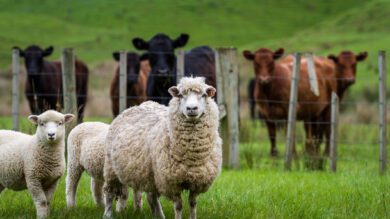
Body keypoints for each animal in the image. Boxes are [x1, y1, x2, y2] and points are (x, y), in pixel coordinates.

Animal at [103, 77, 222, 219]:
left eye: (204, 95)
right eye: (180, 95)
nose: (191, 108)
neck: (192, 155)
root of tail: (135, 107)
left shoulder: (197, 181)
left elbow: (193, 204)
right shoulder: (171, 182)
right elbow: (178, 206)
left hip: (151, 174)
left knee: (152, 197)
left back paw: (159, 215)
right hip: (111, 168)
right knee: (109, 192)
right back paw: (107, 214)